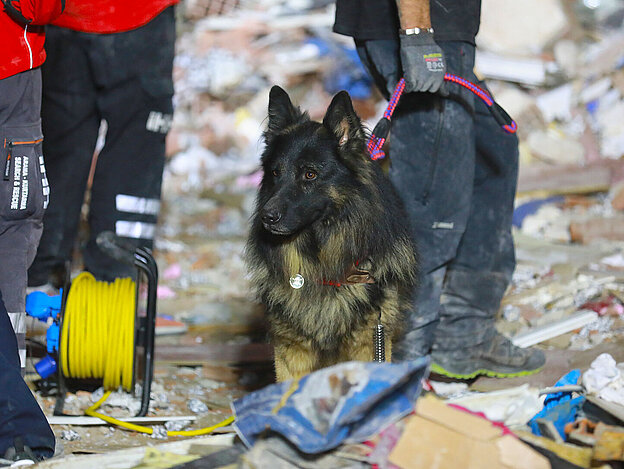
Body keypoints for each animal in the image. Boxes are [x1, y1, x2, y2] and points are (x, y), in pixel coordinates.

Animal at [245, 87, 420, 380]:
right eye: (275, 173)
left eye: (310, 174)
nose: (266, 218)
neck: (321, 257)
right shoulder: (291, 349)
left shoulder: (371, 341)